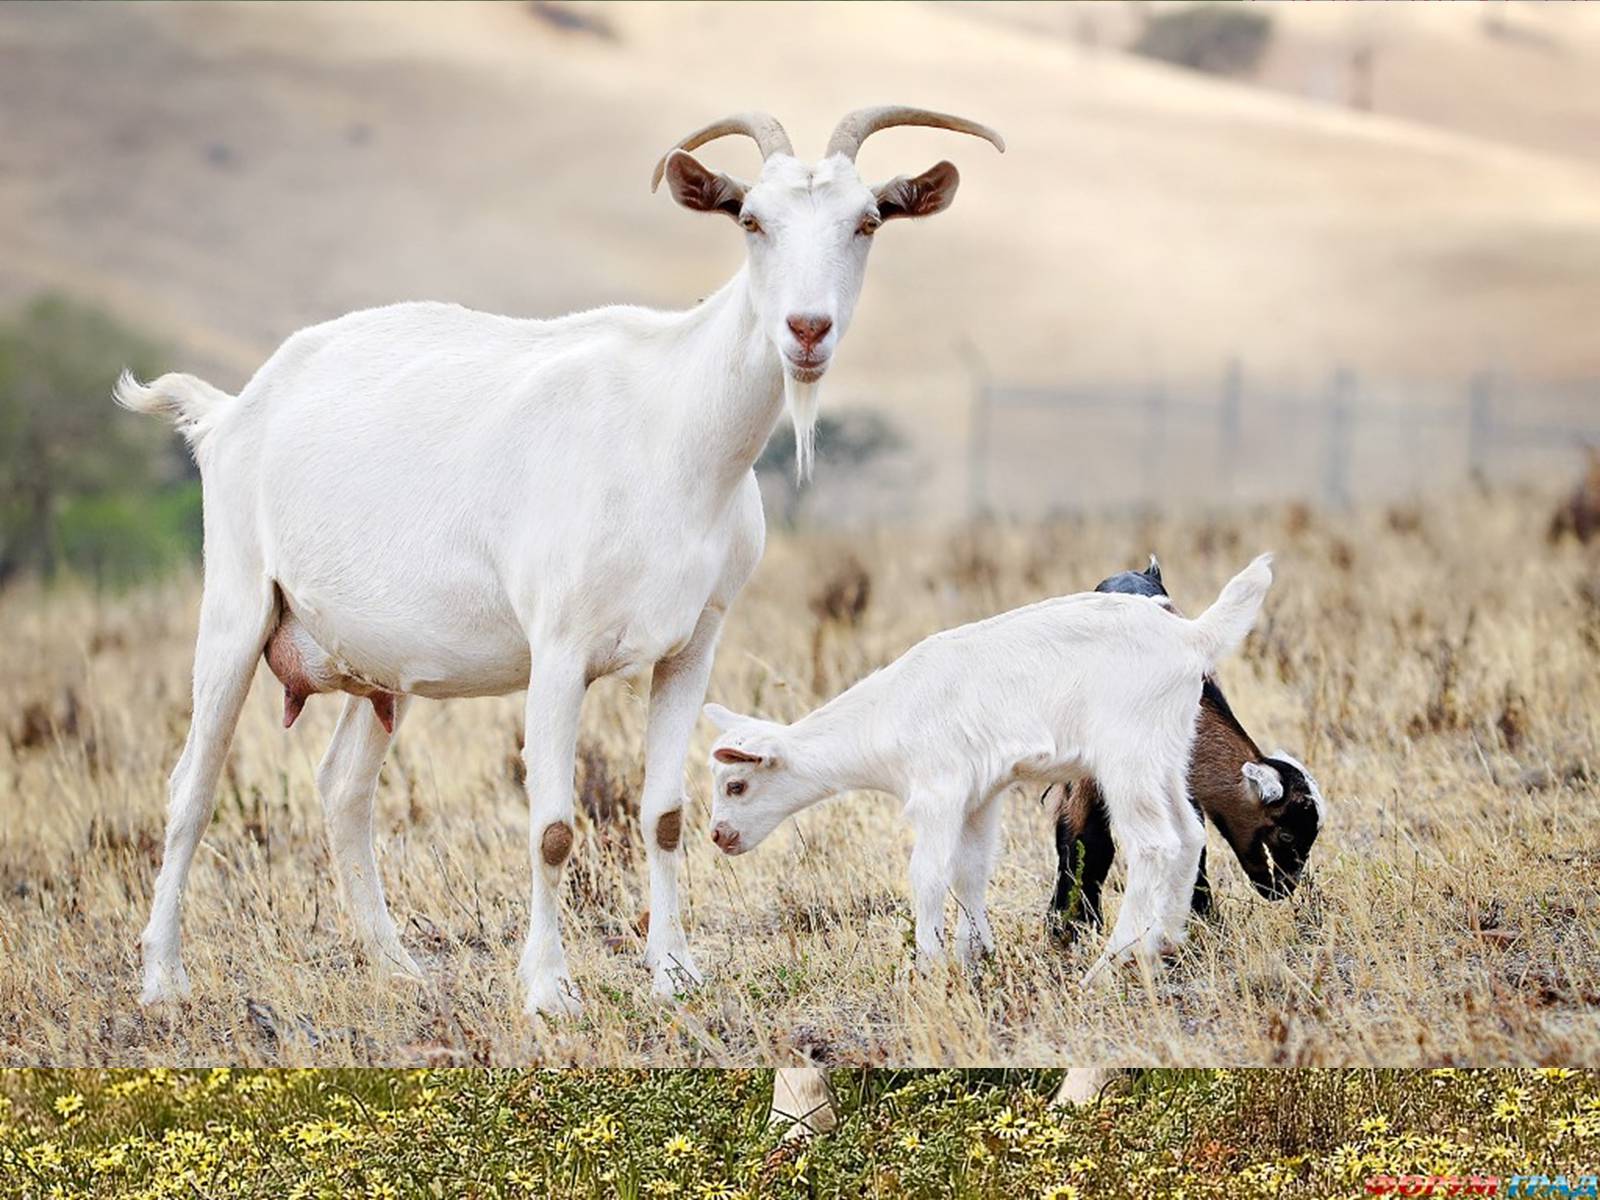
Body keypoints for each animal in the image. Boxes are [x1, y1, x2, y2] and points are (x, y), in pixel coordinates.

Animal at [112, 108, 998, 1017]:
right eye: (751, 220)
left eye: (867, 222)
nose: (807, 330)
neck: (673, 430)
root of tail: (229, 412)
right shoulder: (560, 648)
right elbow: (553, 827)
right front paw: (548, 990)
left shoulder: (694, 645)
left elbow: (664, 814)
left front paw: (673, 972)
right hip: (237, 604)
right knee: (191, 788)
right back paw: (163, 978)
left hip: (382, 666)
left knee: (342, 789)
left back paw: (395, 965)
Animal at [710, 560, 1273, 979]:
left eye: (736, 785)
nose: (718, 835)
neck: (888, 717)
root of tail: (1193, 636)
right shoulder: (979, 797)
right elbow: (971, 871)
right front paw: (975, 955)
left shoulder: (937, 792)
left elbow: (928, 874)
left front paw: (929, 966)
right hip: (1166, 751)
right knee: (1191, 833)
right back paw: (1166, 944)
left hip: (1127, 757)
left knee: (1155, 844)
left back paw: (1110, 966)